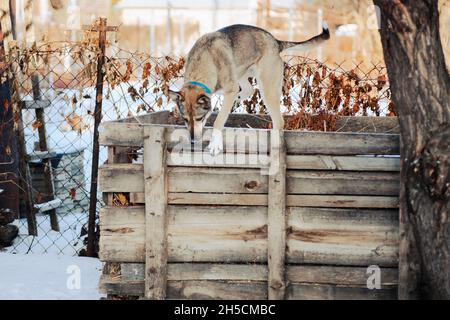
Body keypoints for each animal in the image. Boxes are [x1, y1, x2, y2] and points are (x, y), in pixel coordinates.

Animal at [170, 22, 330, 155]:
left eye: (199, 118)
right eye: (185, 119)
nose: (192, 141)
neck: (205, 62)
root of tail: (275, 41)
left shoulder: (230, 89)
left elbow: (218, 121)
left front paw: (215, 144)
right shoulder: (230, 87)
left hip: (267, 88)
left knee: (279, 122)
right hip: (241, 73)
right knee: (249, 90)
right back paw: (238, 99)